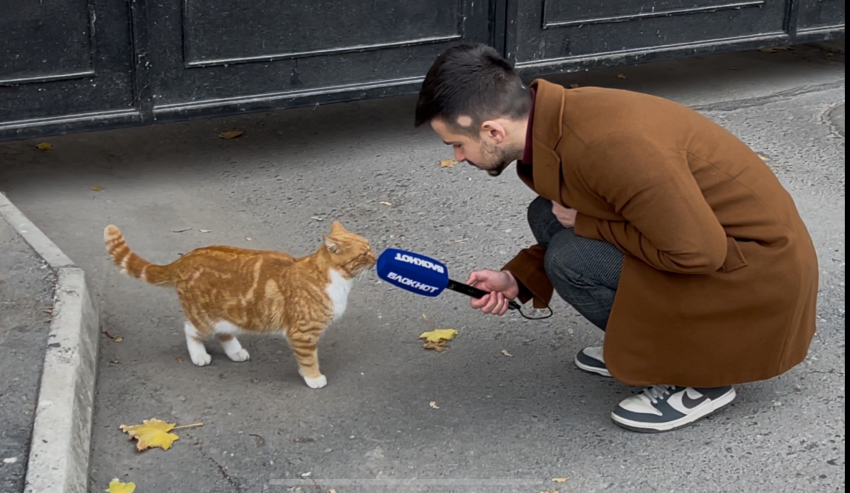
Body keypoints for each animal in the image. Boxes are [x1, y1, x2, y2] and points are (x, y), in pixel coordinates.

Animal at [103, 222, 374, 388]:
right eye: (363, 254)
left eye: (370, 248)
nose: (374, 257)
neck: (335, 280)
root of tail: (184, 259)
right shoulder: (302, 333)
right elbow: (309, 359)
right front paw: (313, 377)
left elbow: (306, 357)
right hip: (203, 317)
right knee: (190, 330)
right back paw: (199, 354)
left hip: (229, 313)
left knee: (224, 333)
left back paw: (235, 351)